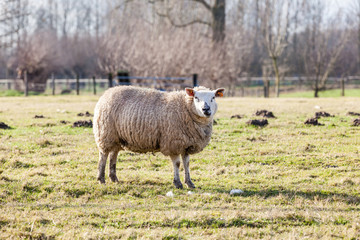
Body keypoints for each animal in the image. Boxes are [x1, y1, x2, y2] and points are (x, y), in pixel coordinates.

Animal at [93, 85, 224, 188]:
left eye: (213, 98)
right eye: (196, 98)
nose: (206, 109)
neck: (185, 108)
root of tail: (107, 92)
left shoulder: (186, 144)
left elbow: (186, 164)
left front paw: (190, 183)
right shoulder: (173, 143)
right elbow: (177, 164)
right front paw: (178, 183)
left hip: (116, 138)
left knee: (113, 155)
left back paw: (114, 178)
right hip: (105, 134)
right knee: (103, 156)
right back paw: (101, 179)